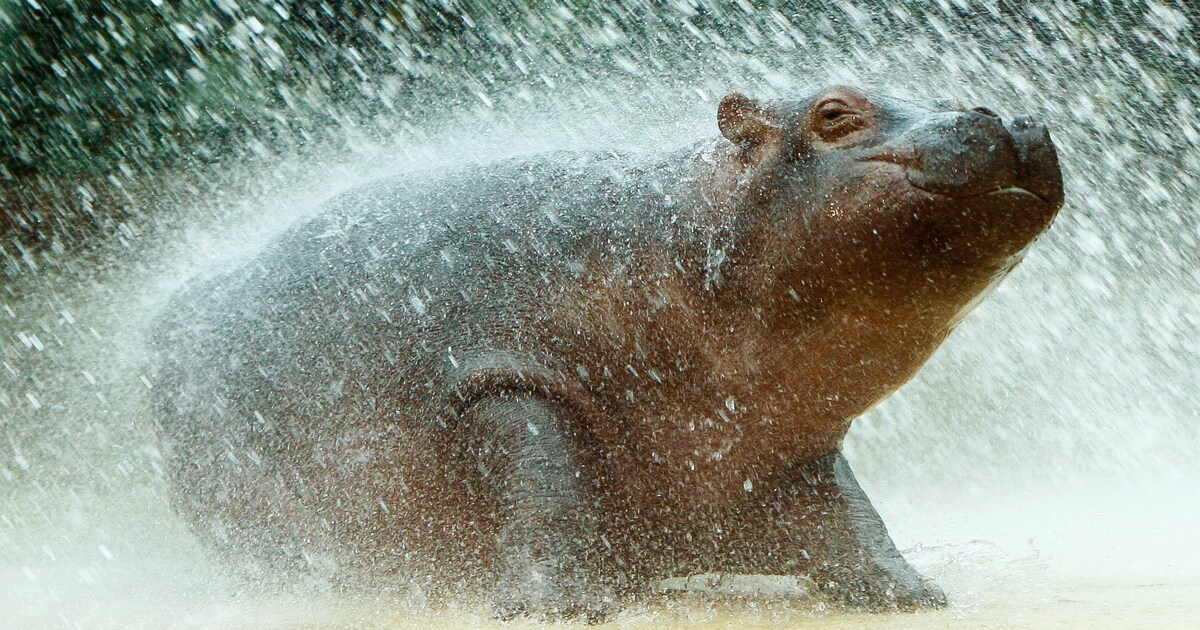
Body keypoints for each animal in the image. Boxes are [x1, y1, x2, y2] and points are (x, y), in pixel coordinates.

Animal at [152, 85, 1063, 622]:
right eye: (834, 112)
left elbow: (850, 515)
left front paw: (914, 595)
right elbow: (548, 492)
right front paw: (556, 609)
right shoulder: (502, 381)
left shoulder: (781, 441)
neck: (678, 241)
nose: (1007, 115)